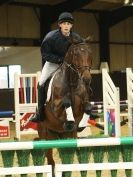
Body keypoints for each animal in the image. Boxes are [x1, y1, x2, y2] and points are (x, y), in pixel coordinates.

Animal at [37, 36, 92, 175]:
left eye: (90, 53)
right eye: (76, 54)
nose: (87, 79)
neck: (71, 82)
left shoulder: (82, 104)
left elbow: (88, 107)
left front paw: (81, 125)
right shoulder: (55, 107)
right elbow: (66, 103)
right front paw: (69, 122)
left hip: (67, 137)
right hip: (46, 138)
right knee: (51, 162)